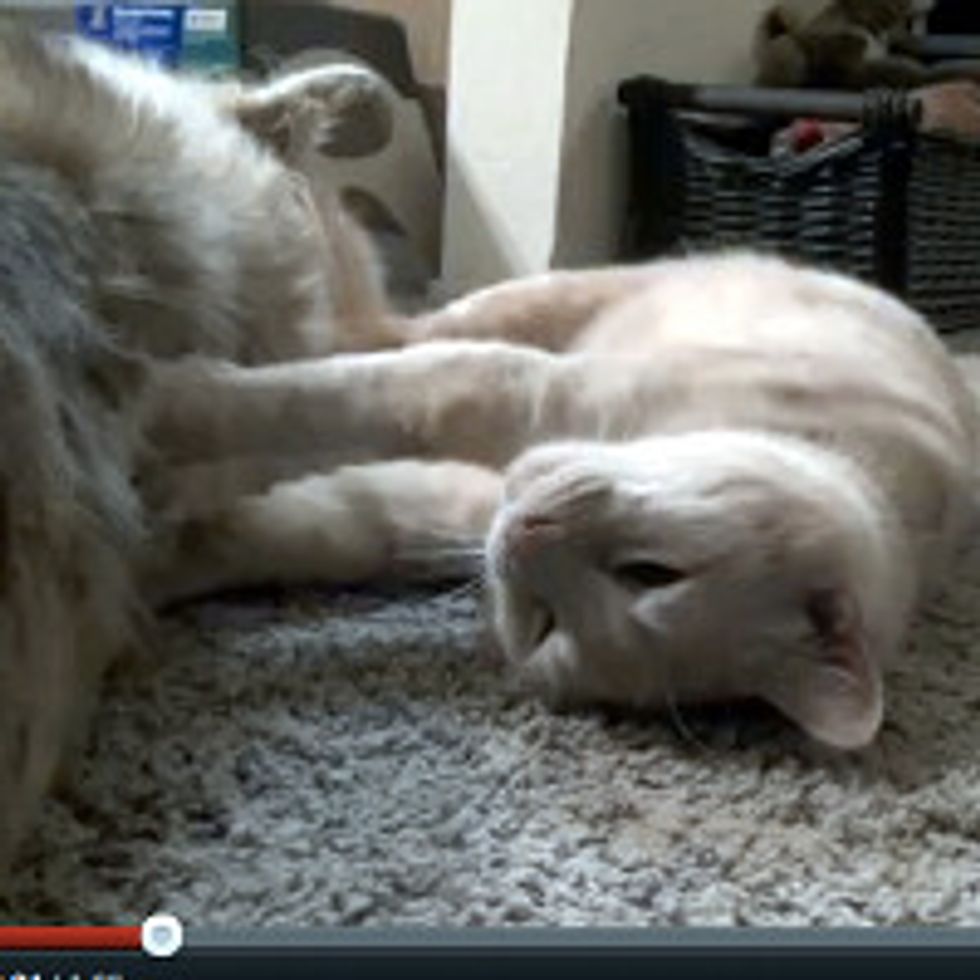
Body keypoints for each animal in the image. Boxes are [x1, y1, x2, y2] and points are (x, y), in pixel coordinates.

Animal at [140, 251, 980, 752]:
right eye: (653, 573)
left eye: (545, 628)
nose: (524, 535)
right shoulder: (527, 394)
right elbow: (350, 395)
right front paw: (166, 397)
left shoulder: (454, 509)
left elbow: (322, 527)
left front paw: (155, 564)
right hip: (562, 293)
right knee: (402, 327)